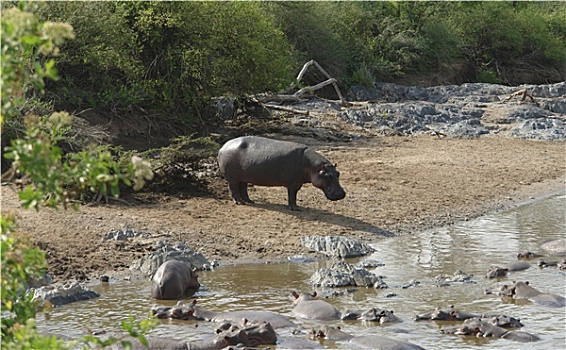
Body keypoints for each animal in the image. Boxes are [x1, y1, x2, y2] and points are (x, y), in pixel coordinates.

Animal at [217, 135, 346, 209]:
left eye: (338, 173)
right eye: (328, 176)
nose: (342, 194)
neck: (313, 167)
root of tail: (223, 146)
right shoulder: (294, 183)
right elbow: (292, 195)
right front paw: (295, 208)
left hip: (244, 177)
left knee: (243, 188)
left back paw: (250, 201)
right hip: (233, 178)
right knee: (233, 189)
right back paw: (239, 202)